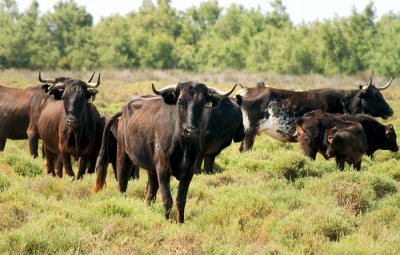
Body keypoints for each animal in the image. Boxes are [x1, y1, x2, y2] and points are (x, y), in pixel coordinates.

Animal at [238, 76, 394, 151]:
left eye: (380, 94)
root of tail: (245, 92)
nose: (390, 110)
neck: (343, 102)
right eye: (376, 96)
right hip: (250, 132)